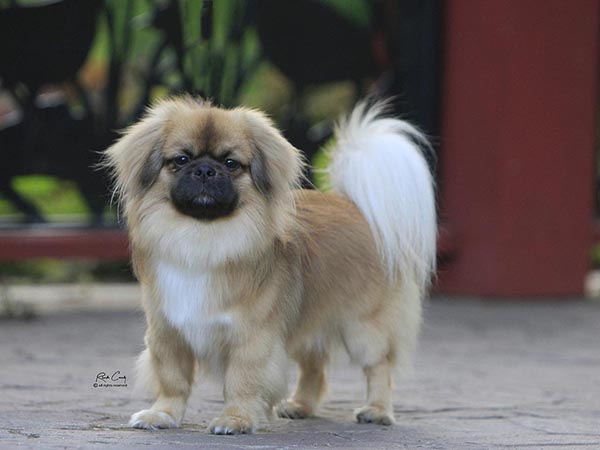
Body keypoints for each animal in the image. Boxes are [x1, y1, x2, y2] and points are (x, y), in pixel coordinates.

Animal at [104, 96, 436, 434]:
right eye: (182, 160)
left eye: (231, 163)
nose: (205, 170)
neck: (204, 237)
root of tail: (357, 207)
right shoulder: (168, 332)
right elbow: (173, 381)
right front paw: (162, 415)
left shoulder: (251, 337)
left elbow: (241, 381)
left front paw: (235, 420)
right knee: (315, 366)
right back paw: (300, 406)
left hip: (363, 329)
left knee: (378, 367)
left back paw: (377, 411)